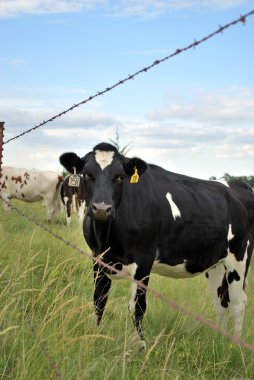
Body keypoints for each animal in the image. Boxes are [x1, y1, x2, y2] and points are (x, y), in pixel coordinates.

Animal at [59, 143, 254, 350]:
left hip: (239, 256)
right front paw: (94, 338)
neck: (108, 238)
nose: (102, 209)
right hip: (214, 262)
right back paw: (219, 341)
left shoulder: (144, 259)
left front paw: (141, 346)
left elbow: (137, 306)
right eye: (87, 175)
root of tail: (239, 185)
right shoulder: (98, 258)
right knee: (221, 300)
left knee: (238, 302)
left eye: (119, 177)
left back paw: (235, 345)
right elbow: (99, 300)